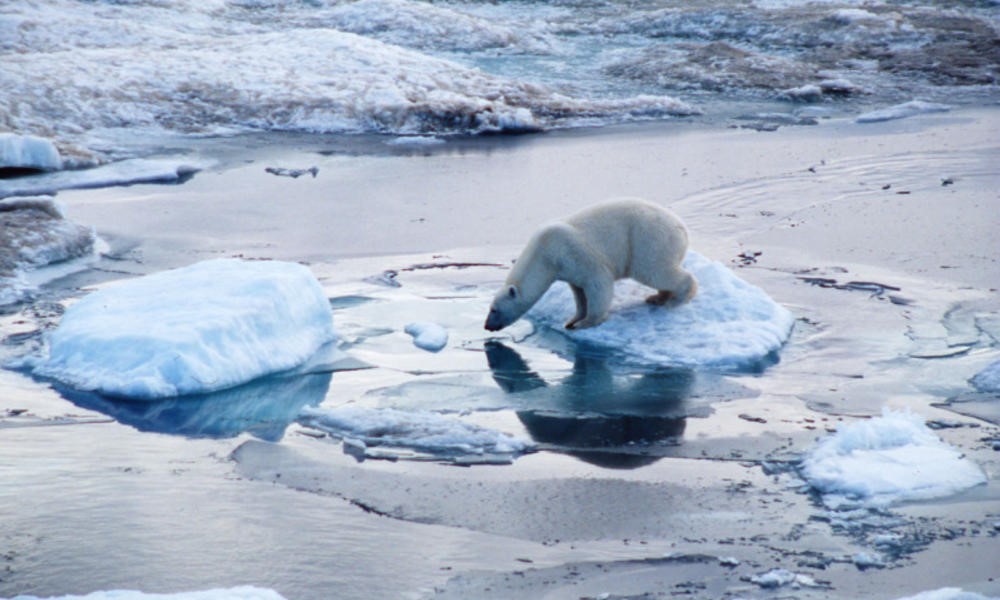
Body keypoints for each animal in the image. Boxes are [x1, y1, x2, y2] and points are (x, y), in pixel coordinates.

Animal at [484, 197, 696, 330]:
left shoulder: (574, 253)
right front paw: (572, 320)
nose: (487, 326)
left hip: (649, 239)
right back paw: (657, 297)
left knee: (655, 271)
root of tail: (682, 228)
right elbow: (579, 293)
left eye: (494, 309)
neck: (544, 253)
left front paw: (586, 323)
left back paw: (676, 300)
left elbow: (598, 283)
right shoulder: (568, 269)